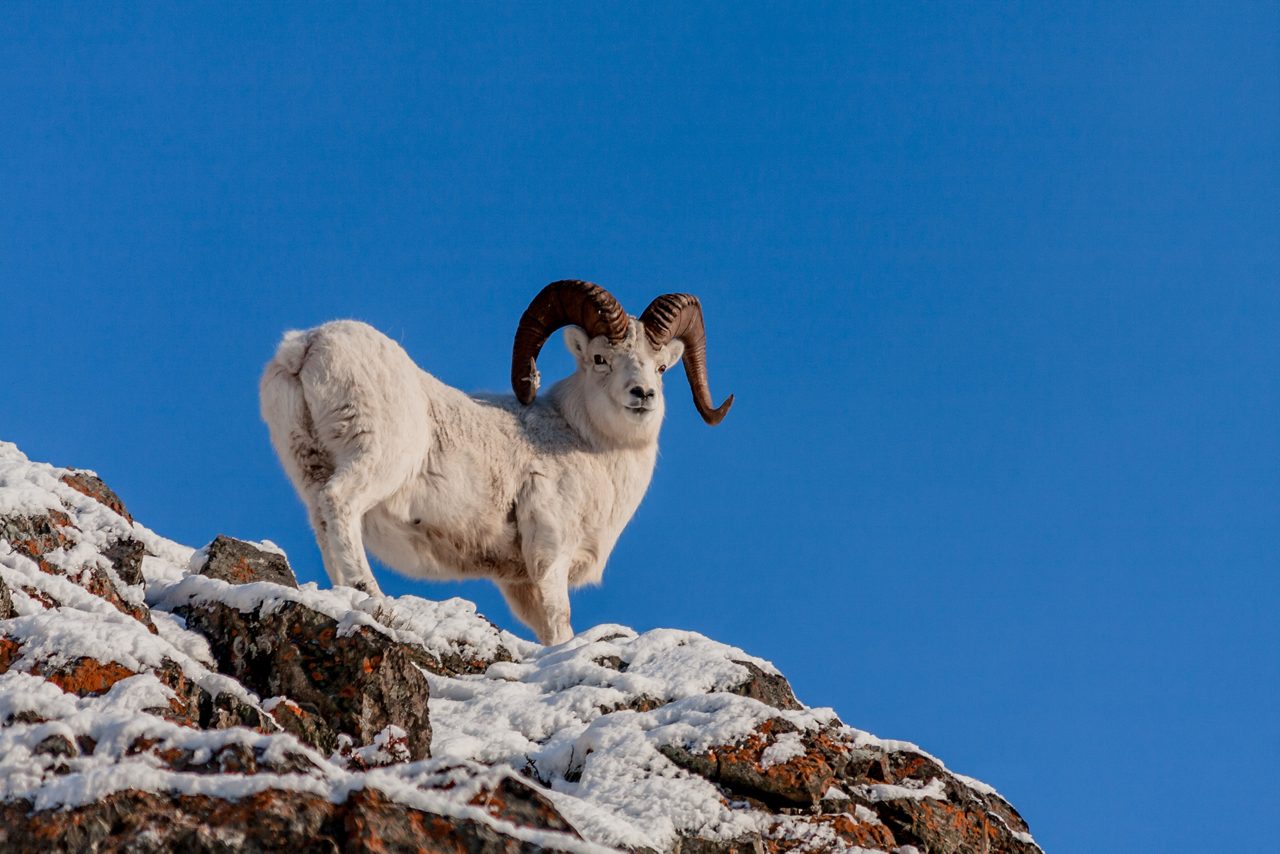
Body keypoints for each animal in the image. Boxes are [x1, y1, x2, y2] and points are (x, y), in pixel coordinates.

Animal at [259, 280, 733, 645]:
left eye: (661, 367)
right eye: (601, 359)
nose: (642, 395)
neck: (585, 441)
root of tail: (307, 346)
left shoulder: (519, 583)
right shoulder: (550, 557)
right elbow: (560, 627)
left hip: (311, 469)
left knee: (323, 519)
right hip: (377, 463)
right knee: (339, 503)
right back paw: (368, 593)